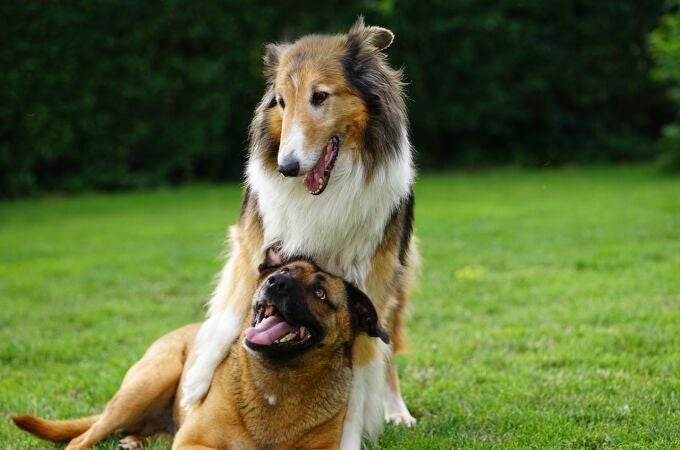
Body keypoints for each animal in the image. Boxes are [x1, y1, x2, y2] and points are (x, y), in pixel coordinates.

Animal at [11, 253, 388, 450]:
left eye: (320, 293)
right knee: (80, 441)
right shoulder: (195, 443)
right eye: (282, 271)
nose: (275, 282)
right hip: (149, 382)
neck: (277, 385)